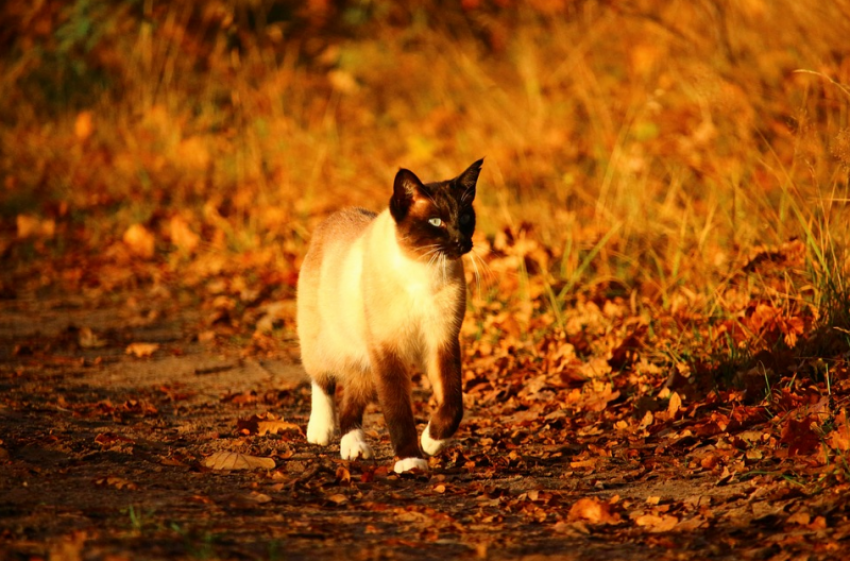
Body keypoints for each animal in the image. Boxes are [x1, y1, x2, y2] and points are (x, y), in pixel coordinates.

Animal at [298, 158, 484, 472]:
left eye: (465, 217)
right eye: (436, 222)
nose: (461, 242)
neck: (424, 270)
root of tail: (337, 215)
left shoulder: (442, 341)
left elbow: (453, 403)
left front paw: (432, 442)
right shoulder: (388, 350)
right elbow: (398, 411)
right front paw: (411, 460)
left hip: (364, 363)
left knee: (350, 406)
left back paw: (354, 448)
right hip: (332, 343)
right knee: (321, 378)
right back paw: (321, 431)